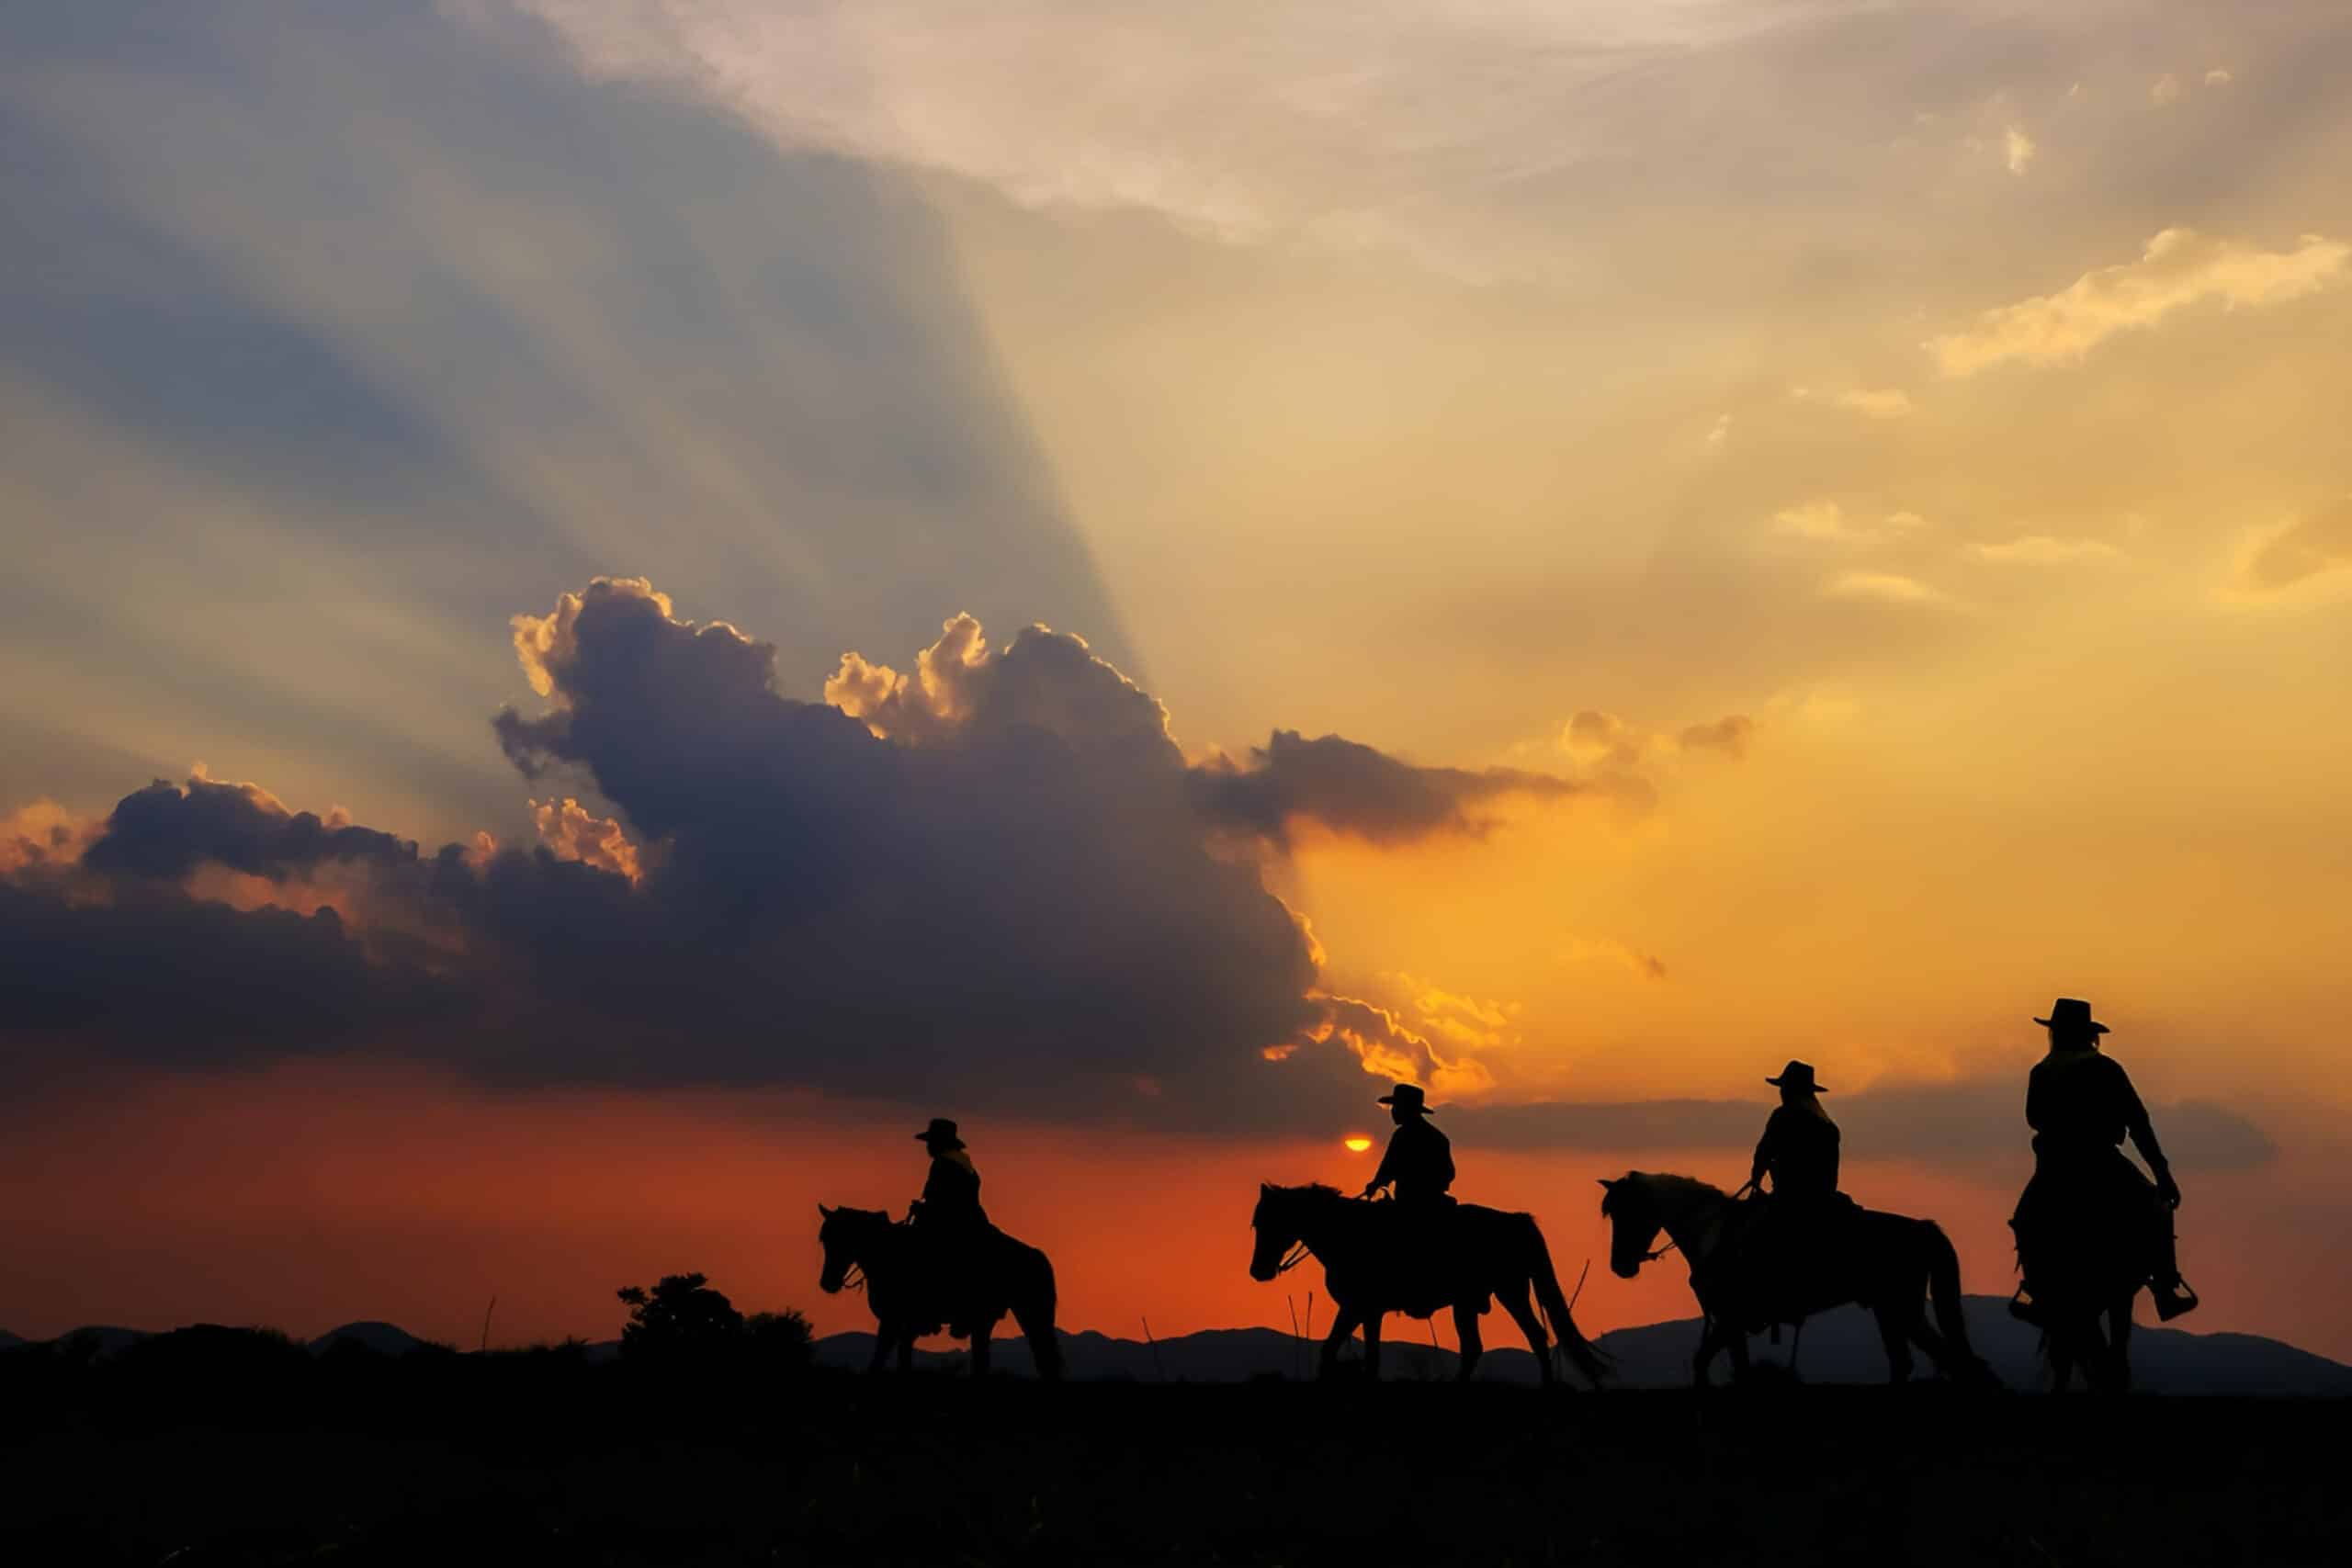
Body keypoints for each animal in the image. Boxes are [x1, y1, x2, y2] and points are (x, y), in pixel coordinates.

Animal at [813, 1213, 1063, 1382]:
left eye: (842, 1238)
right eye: (824, 1240)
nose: (827, 1283)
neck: (887, 1253)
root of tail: (1036, 1254)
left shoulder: (893, 1320)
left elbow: (881, 1354)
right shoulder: (905, 1326)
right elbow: (901, 1357)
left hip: (1026, 1313)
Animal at [1241, 1184, 1609, 1392]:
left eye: (1268, 1222)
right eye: (1257, 1223)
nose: (1258, 1271)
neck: (1347, 1235)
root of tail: (1517, 1221)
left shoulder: (1356, 1307)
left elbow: (1334, 1349)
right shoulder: (1366, 1311)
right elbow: (1359, 1353)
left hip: (1507, 1293)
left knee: (1529, 1336)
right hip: (1475, 1301)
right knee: (1485, 1345)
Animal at [1589, 1175, 1994, 1382]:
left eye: (1628, 1210)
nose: (1620, 1265)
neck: (1713, 1232)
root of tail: (1922, 1228)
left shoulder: (1730, 1320)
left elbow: (1709, 1363)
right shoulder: (1730, 1326)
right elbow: (1729, 1366)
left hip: (1901, 1310)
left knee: (1949, 1360)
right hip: (1892, 1311)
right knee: (1916, 1361)